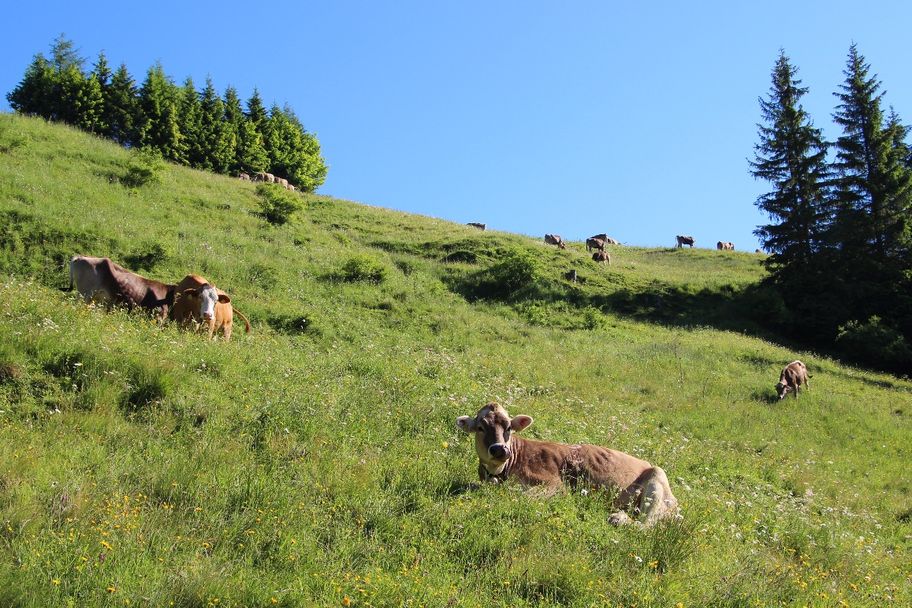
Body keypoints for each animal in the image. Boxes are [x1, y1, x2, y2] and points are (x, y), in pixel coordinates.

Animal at [456, 403, 679, 526]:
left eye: (509, 427)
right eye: (480, 427)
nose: (500, 449)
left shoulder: (555, 485)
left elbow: (517, 494)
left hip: (658, 479)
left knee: (647, 525)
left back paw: (618, 518)